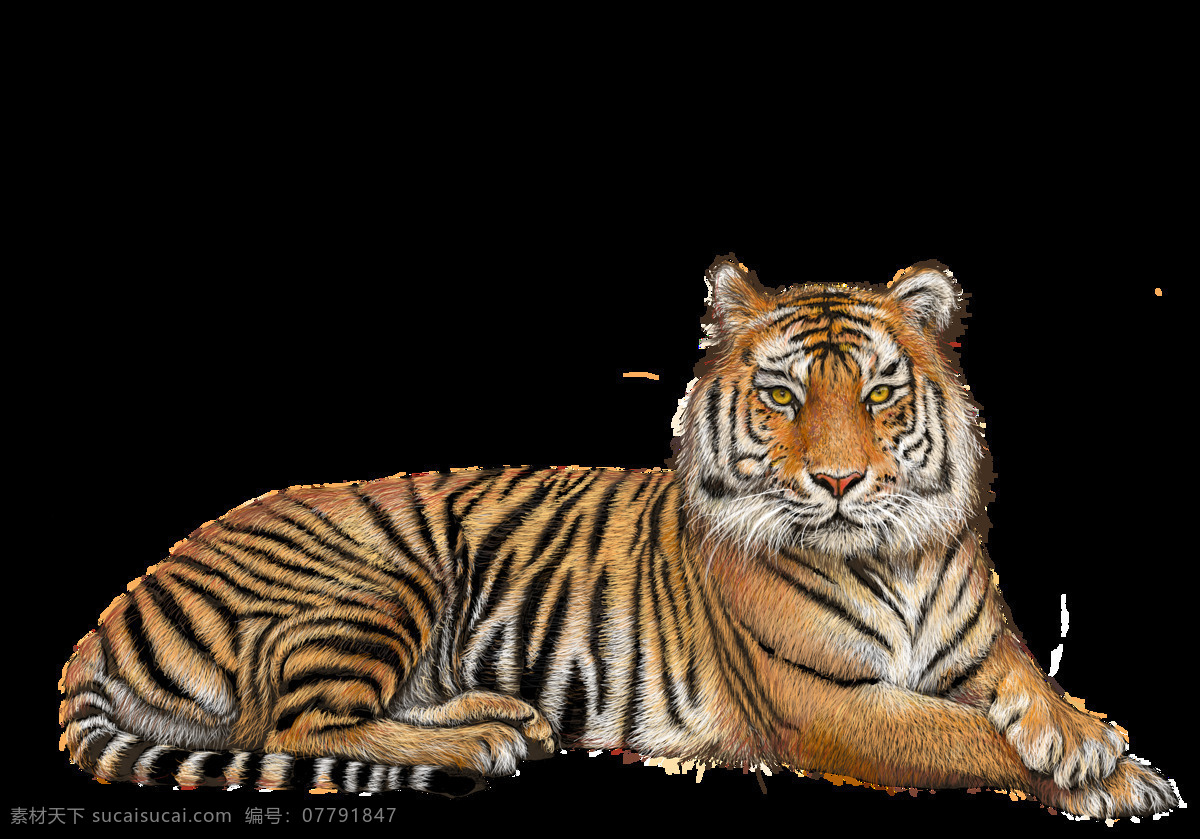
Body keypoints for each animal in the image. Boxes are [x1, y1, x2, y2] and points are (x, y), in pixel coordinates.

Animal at [58, 255, 1180, 818]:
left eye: (877, 395)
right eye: (782, 397)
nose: (840, 480)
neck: (895, 551)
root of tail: (118, 604)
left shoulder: (978, 642)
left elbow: (1024, 678)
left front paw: (1094, 744)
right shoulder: (826, 702)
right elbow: (964, 733)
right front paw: (1102, 770)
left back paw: (506, 715)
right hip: (374, 579)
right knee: (295, 726)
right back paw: (481, 738)